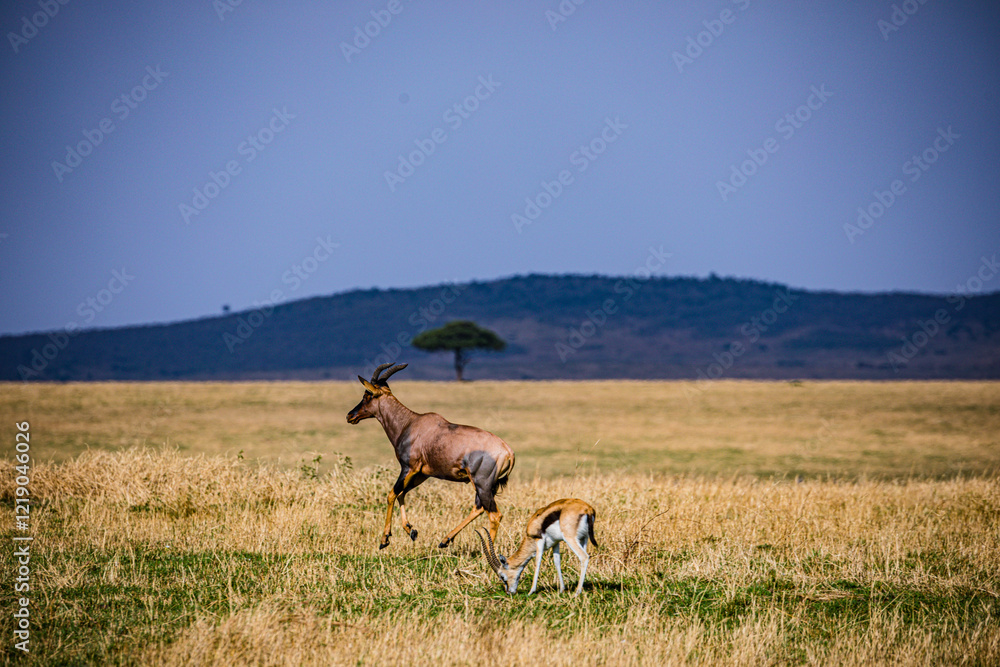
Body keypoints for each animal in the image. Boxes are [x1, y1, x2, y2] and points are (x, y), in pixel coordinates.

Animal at [346, 363, 515, 550]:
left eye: (367, 395)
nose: (350, 416)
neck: (410, 423)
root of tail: (508, 452)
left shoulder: (408, 468)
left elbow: (392, 494)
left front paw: (385, 539)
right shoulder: (422, 474)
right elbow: (401, 494)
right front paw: (411, 531)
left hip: (482, 484)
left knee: (494, 515)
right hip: (486, 486)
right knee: (478, 508)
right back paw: (445, 540)